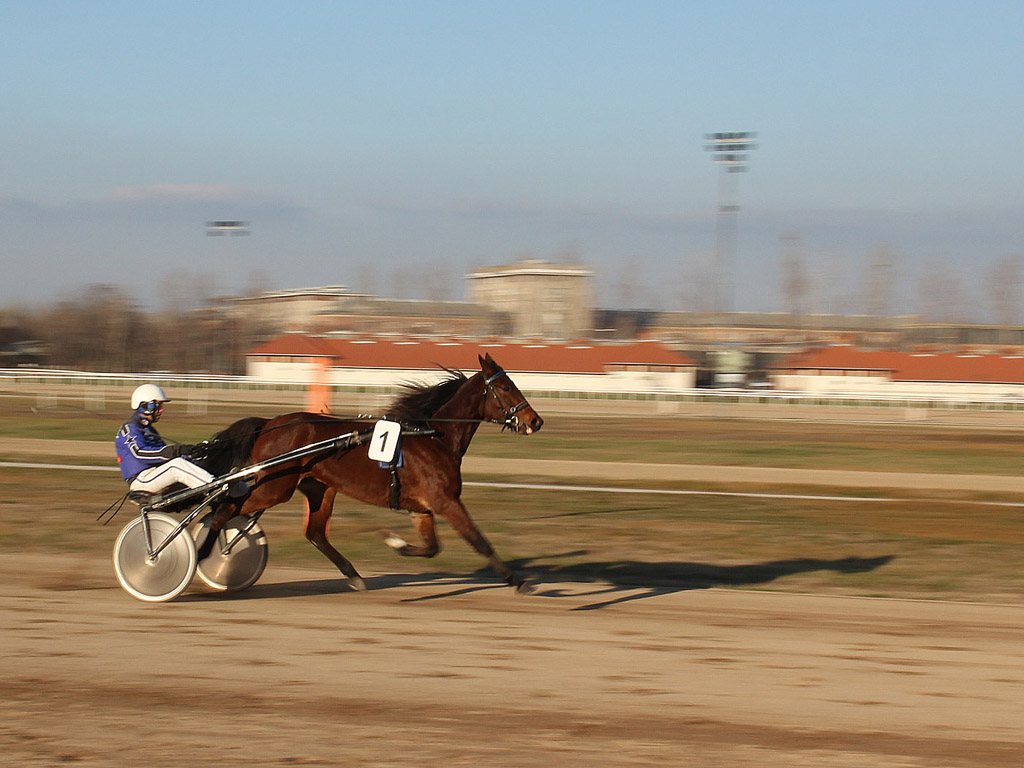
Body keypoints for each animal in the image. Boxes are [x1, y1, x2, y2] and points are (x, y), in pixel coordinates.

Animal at [193, 354, 544, 593]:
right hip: (275, 487)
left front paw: (395, 542)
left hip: (319, 488)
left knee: (315, 533)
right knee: (224, 508)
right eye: (505, 387)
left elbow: (432, 548)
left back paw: (354, 575)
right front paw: (518, 581)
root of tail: (269, 423)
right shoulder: (445, 501)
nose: (535, 420)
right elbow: (479, 541)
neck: (433, 436)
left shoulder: (423, 508)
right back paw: (203, 553)